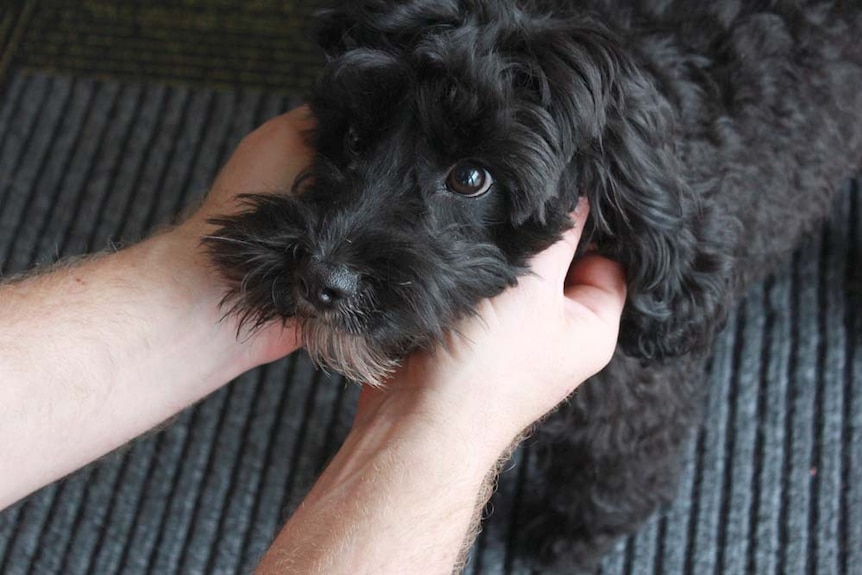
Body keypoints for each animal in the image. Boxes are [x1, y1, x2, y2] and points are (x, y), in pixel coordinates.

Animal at [204, 1, 862, 572]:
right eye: (352, 138)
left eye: (471, 178)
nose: (319, 279)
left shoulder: (638, 397)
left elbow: (615, 464)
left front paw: (574, 536)